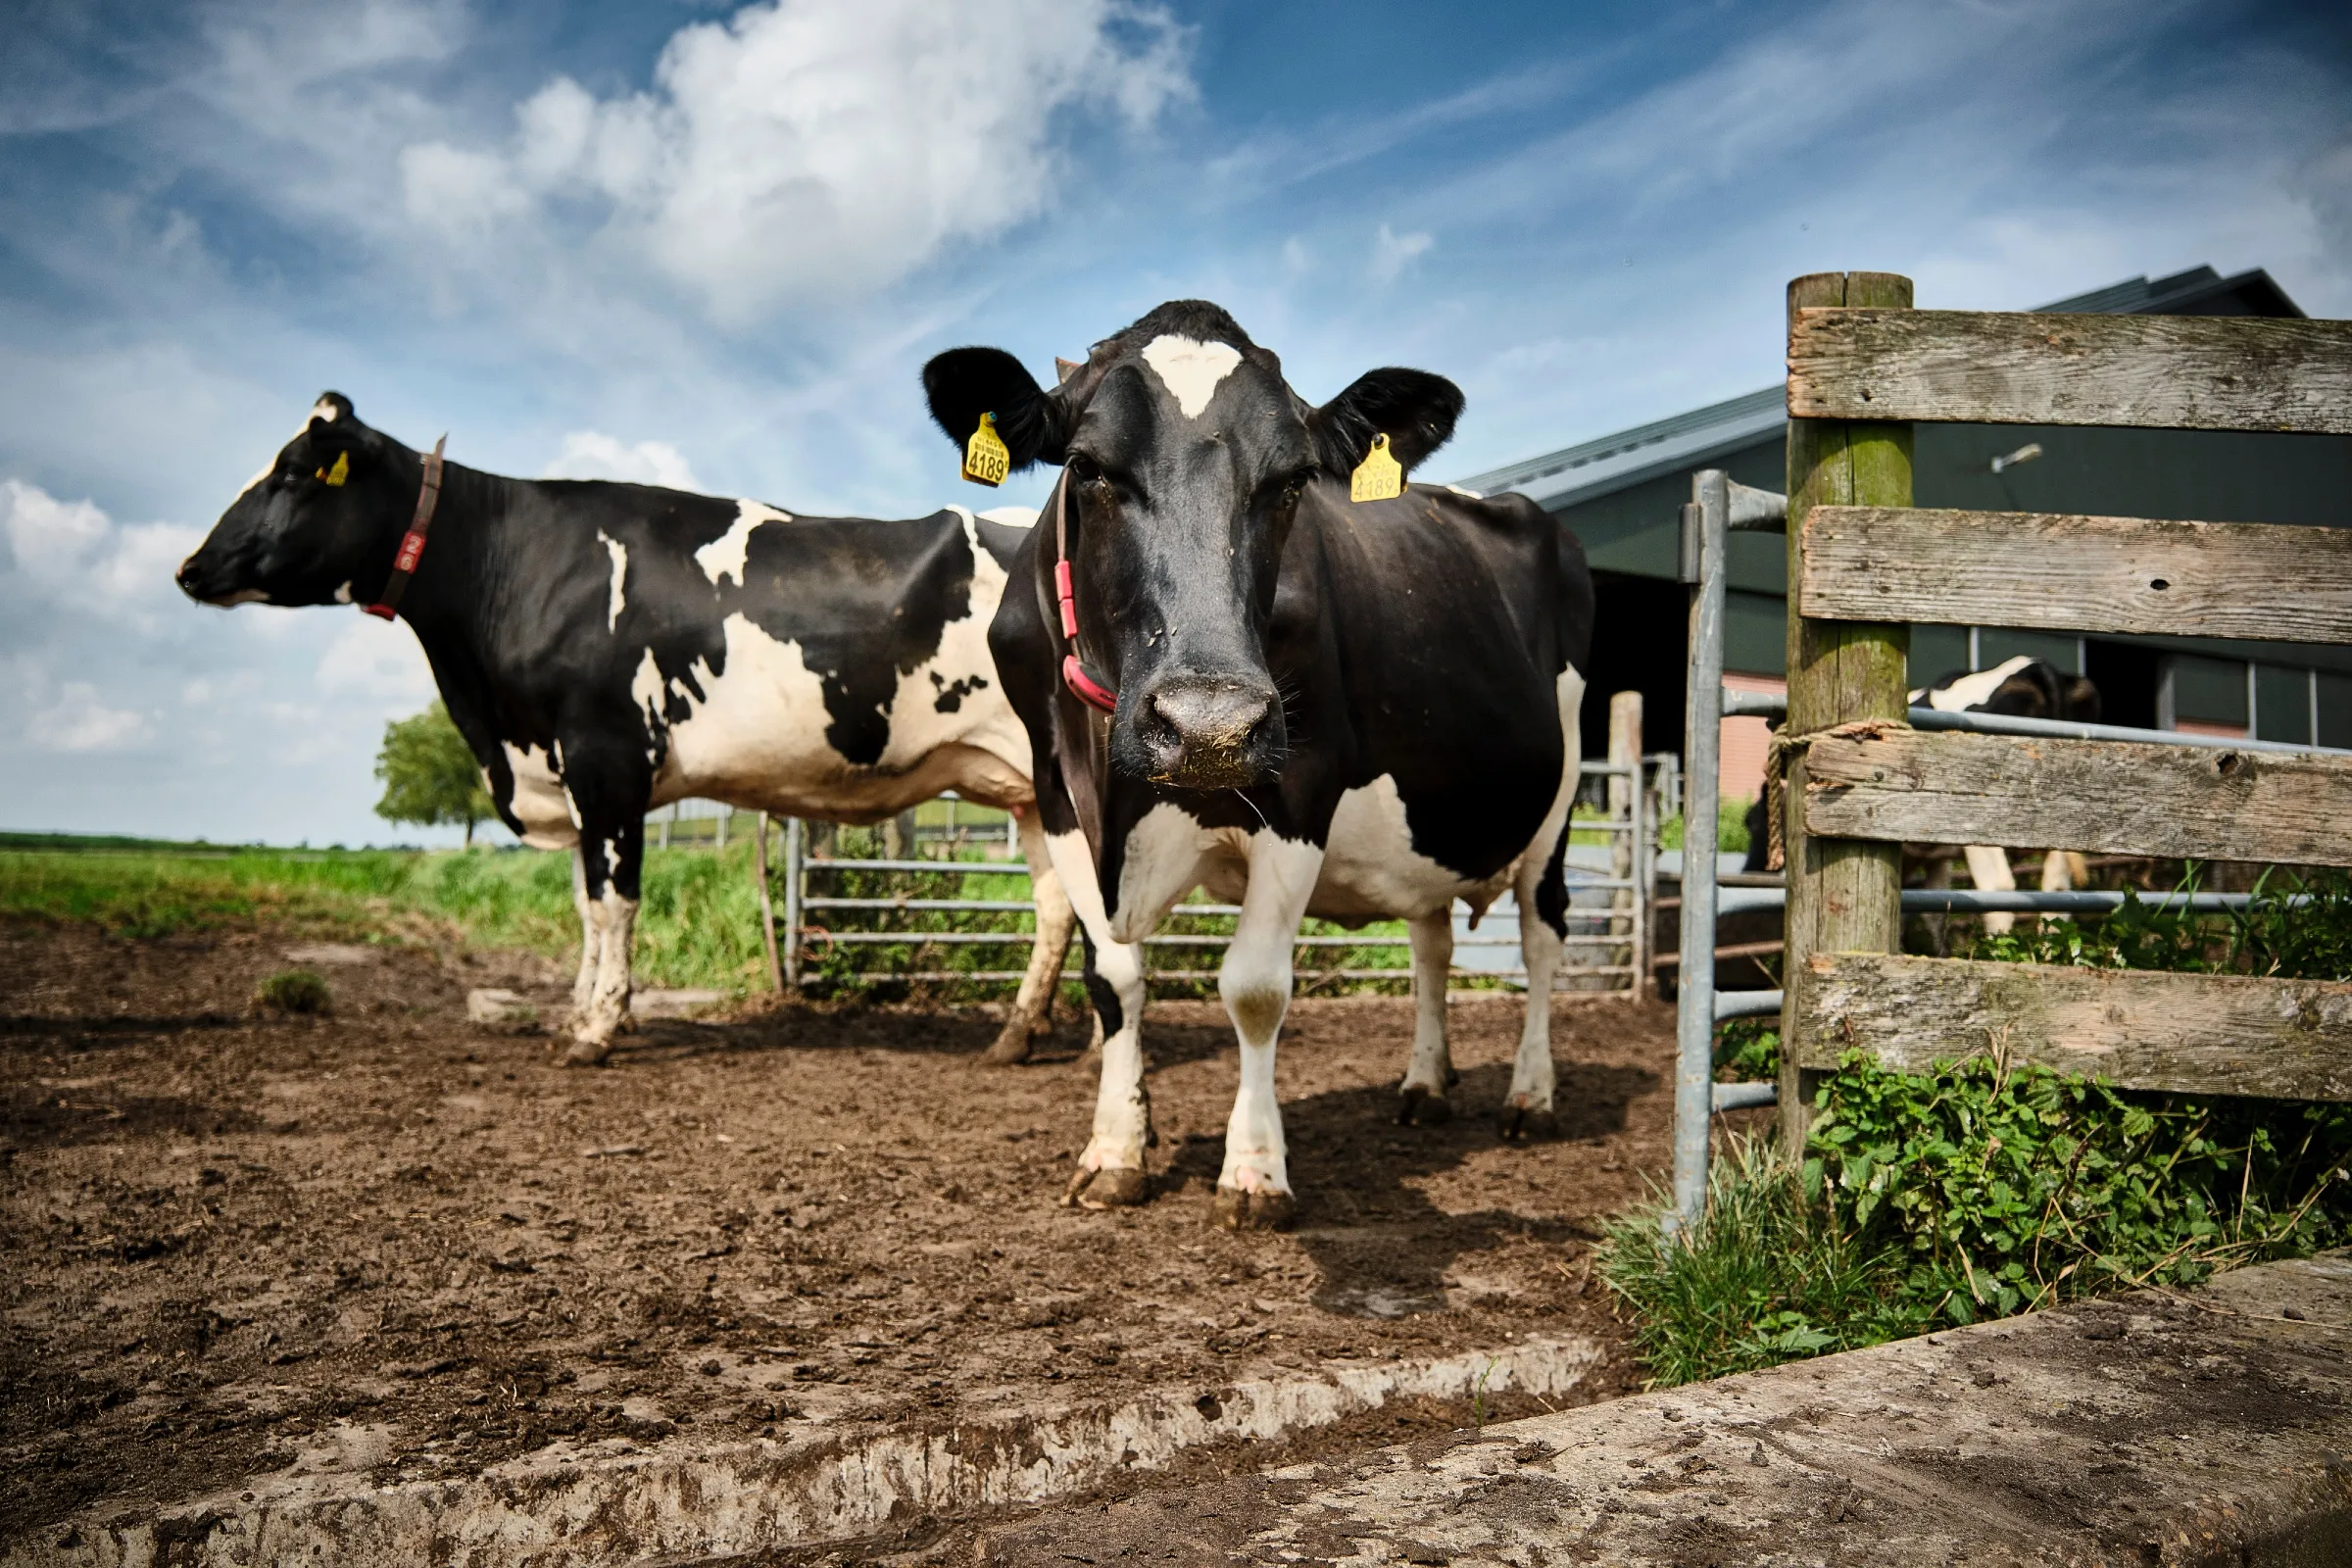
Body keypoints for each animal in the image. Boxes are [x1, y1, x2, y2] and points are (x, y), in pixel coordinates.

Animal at [176, 393, 1077, 1064]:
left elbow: (614, 903)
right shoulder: (568, 773)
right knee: (1056, 905)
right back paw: (1015, 1036)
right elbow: (584, 902)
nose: (189, 567)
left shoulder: (605, 757)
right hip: (1031, 789)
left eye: (294, 475)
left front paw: (600, 1028)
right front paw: (581, 1009)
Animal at [923, 300, 1594, 1229]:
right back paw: (1424, 1083)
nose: (1210, 726)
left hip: (1558, 802)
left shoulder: (1301, 788)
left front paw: (1253, 1171)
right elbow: (1115, 979)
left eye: (1293, 481)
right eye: (1087, 468)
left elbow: (1253, 988)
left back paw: (1531, 1096)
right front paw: (1115, 1151)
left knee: (1542, 938)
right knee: (1430, 943)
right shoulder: (1055, 794)